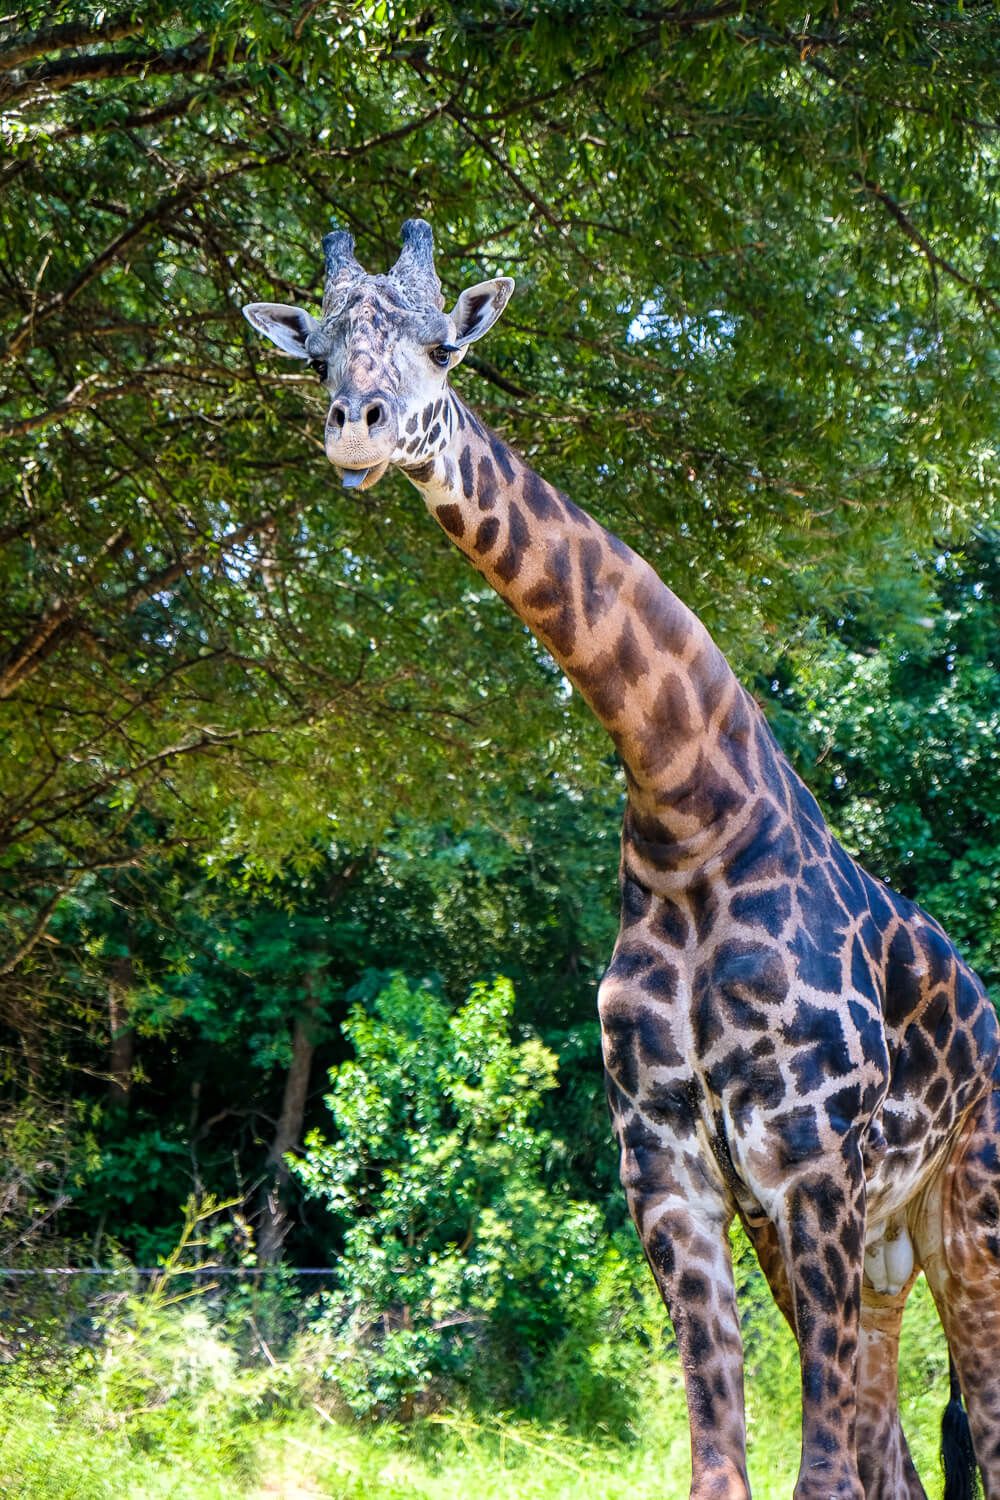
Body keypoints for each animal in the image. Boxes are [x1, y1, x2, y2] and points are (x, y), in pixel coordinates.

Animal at [242, 222, 1000, 1500]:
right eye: (322, 353)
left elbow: (819, 1471)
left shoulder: (808, 1161)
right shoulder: (673, 1169)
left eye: (442, 346)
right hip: (879, 1246)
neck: (688, 809)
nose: (357, 425)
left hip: (966, 1214)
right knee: (899, 1454)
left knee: (973, 1424)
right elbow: (726, 1466)